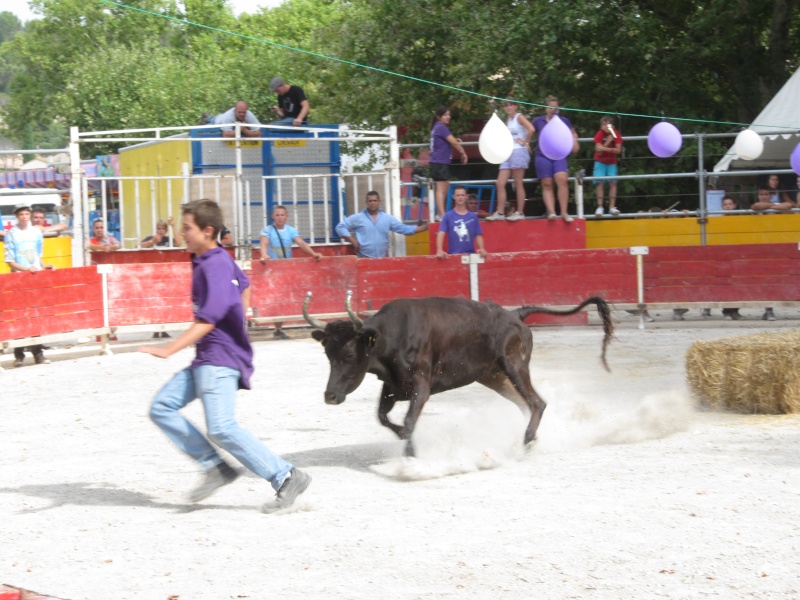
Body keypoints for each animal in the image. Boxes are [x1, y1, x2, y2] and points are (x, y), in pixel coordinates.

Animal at [304, 294, 612, 454]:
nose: (330, 396)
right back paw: (531, 439)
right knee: (526, 404)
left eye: (347, 355)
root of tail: (516, 315)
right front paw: (406, 442)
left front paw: (410, 453)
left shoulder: (420, 387)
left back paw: (525, 442)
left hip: (514, 366)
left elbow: (407, 421)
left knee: (537, 403)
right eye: (327, 355)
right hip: (494, 377)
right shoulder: (392, 386)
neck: (388, 337)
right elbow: (384, 418)